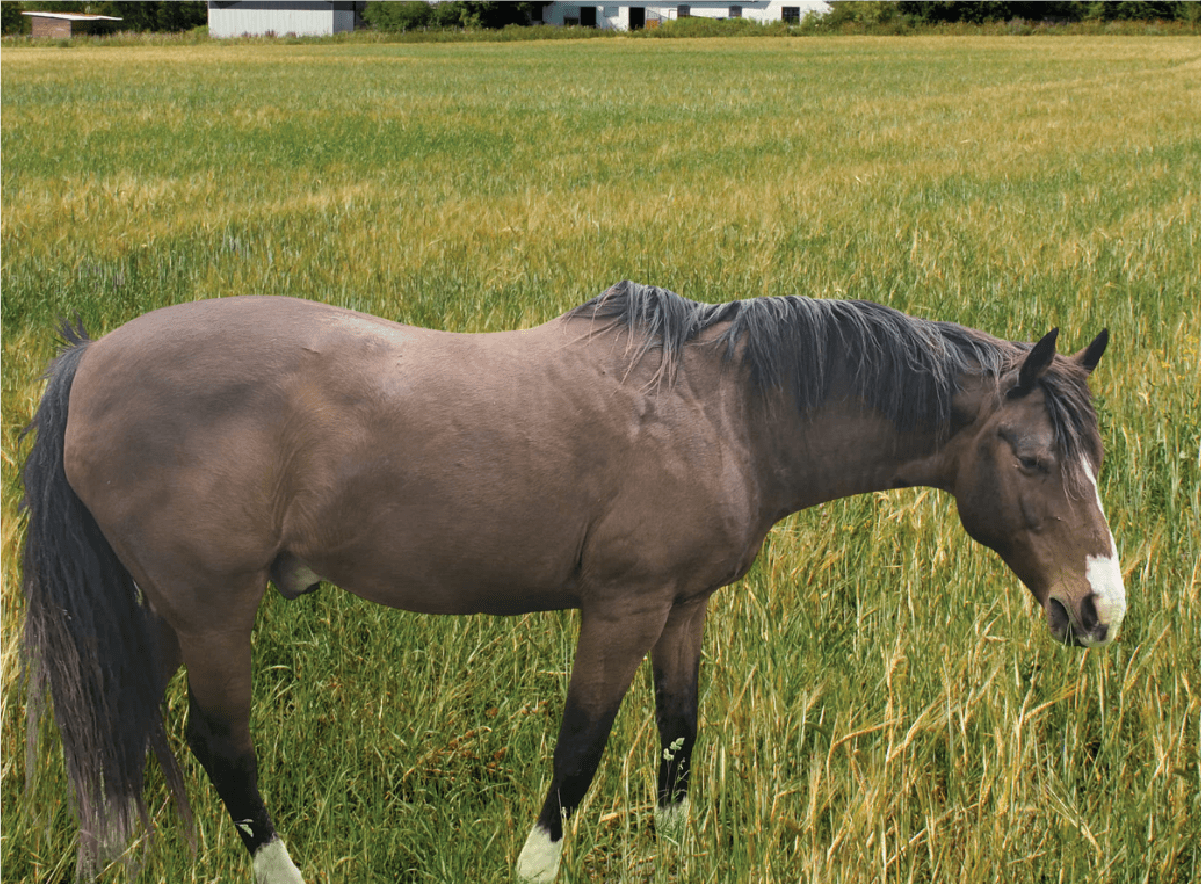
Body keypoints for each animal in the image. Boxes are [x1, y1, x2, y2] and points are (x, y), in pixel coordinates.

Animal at [21, 281, 1125, 883]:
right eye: (1032, 459)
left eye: (1094, 455)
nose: (1099, 607)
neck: (724, 409)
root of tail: (91, 355)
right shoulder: (621, 605)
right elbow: (581, 747)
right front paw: (536, 863)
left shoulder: (683, 605)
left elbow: (678, 732)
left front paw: (676, 854)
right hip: (212, 607)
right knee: (219, 740)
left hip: (161, 612)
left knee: (119, 719)